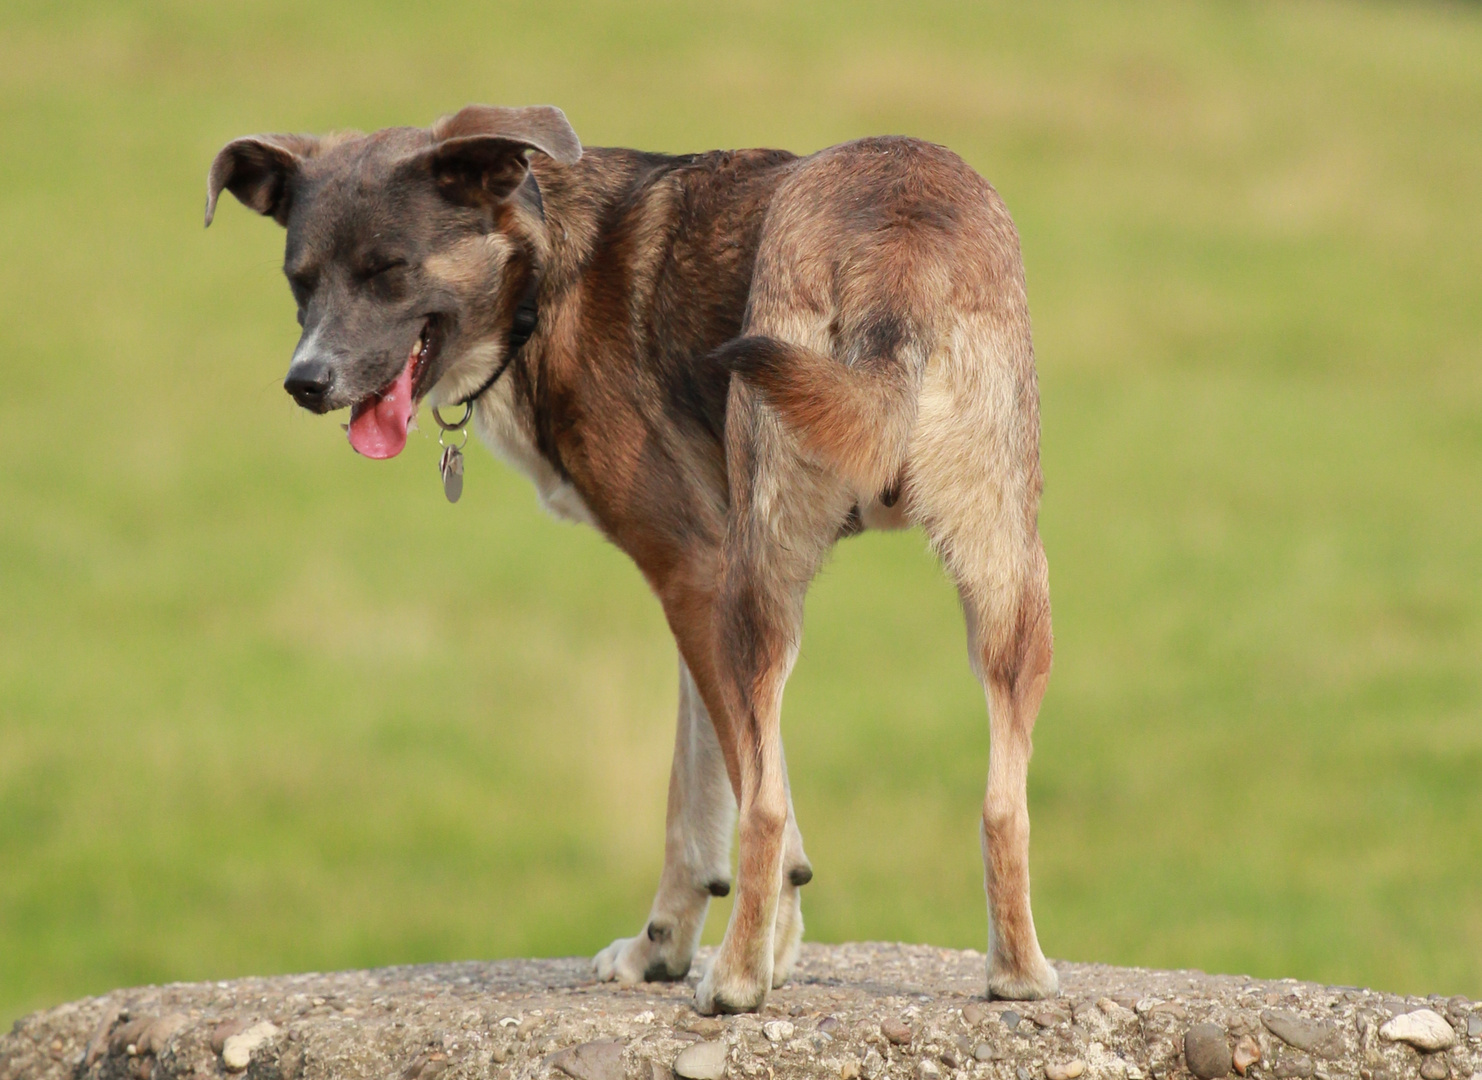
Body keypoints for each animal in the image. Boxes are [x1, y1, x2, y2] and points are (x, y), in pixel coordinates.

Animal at [208, 102, 1061, 1013]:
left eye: (389, 270)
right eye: (300, 281)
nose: (305, 382)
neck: (541, 277)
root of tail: (894, 250)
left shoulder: (697, 573)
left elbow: (735, 798)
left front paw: (751, 953)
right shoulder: (704, 590)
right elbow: (703, 794)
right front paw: (670, 946)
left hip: (763, 586)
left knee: (767, 807)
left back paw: (734, 983)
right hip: (1006, 580)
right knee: (1003, 804)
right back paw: (1018, 974)